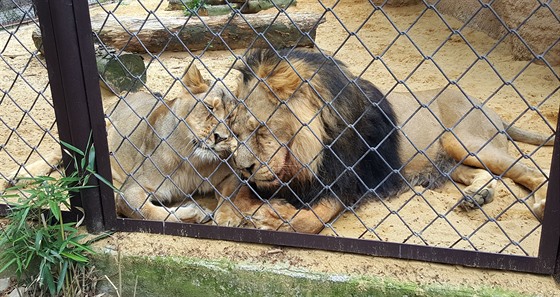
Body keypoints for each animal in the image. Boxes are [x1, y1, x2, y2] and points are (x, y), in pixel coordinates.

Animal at [218, 48, 552, 234]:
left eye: (261, 129)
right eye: (236, 132)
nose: (246, 167)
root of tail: (487, 107)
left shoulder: (347, 181)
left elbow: (315, 217)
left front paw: (273, 218)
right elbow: (233, 189)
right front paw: (226, 212)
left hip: (462, 140)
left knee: (531, 171)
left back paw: (540, 205)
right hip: (449, 160)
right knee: (487, 175)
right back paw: (476, 197)